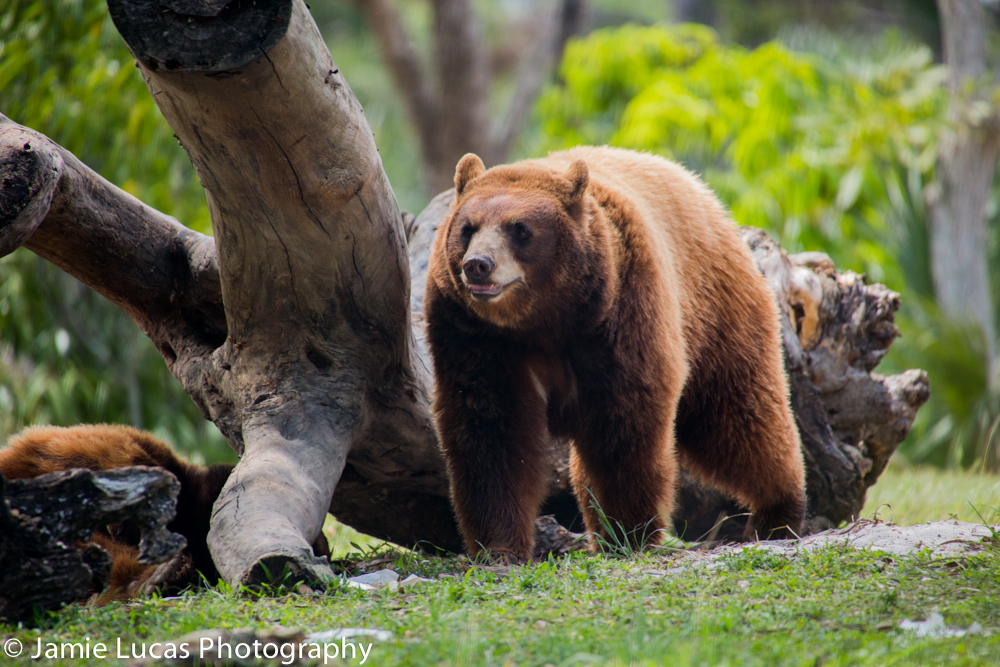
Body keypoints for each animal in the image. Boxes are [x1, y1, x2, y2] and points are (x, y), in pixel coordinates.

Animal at [424, 146, 806, 562]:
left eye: (520, 229)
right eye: (468, 227)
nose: (478, 265)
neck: (544, 319)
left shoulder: (619, 311)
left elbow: (624, 422)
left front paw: (628, 531)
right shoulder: (476, 335)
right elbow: (491, 429)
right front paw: (497, 545)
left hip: (715, 311)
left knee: (740, 416)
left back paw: (779, 511)